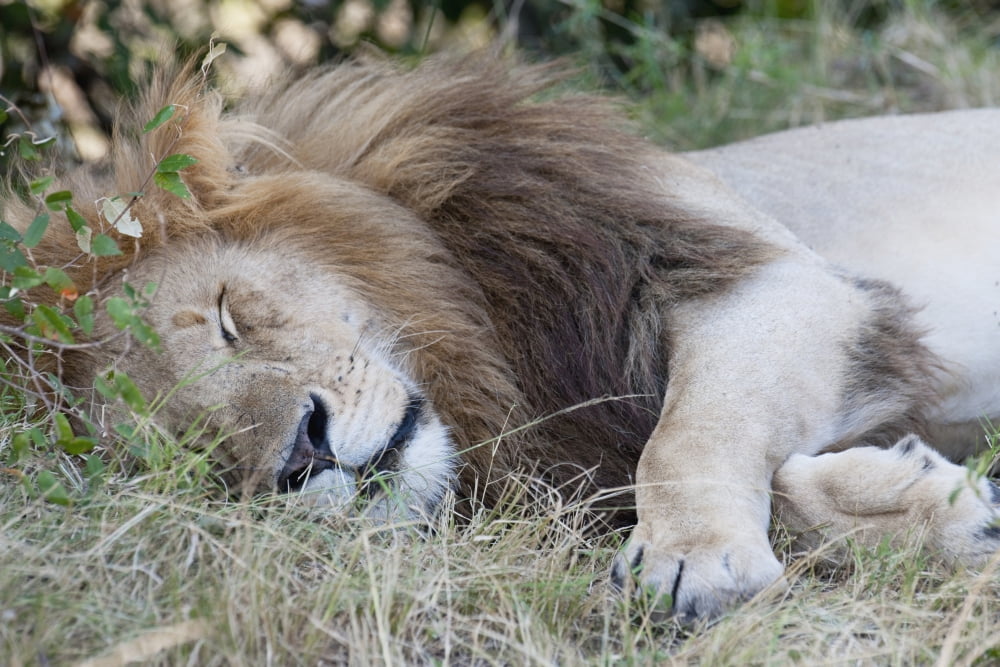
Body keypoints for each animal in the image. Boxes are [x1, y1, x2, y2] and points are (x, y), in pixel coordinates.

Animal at [3, 53, 999, 622]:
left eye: (227, 316)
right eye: (194, 449)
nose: (301, 455)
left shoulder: (767, 275)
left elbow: (683, 436)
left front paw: (692, 559)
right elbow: (696, 467)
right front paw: (931, 505)